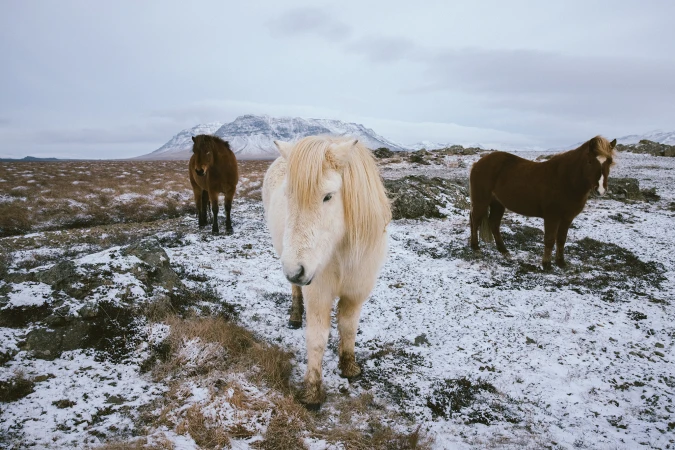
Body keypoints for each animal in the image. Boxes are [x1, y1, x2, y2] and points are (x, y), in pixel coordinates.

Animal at [262, 136, 391, 409]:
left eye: (328, 196)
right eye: (288, 196)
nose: (294, 269)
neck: (341, 250)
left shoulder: (357, 292)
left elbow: (348, 327)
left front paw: (349, 367)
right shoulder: (318, 292)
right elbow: (317, 337)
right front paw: (312, 391)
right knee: (295, 290)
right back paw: (295, 316)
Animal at [469, 135, 616, 269]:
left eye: (609, 162)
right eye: (590, 161)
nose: (601, 190)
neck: (566, 180)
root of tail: (478, 163)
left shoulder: (567, 218)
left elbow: (561, 239)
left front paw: (561, 262)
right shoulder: (552, 216)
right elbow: (550, 239)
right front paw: (547, 264)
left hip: (498, 204)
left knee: (494, 223)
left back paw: (504, 251)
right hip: (481, 201)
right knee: (475, 220)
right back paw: (476, 248)